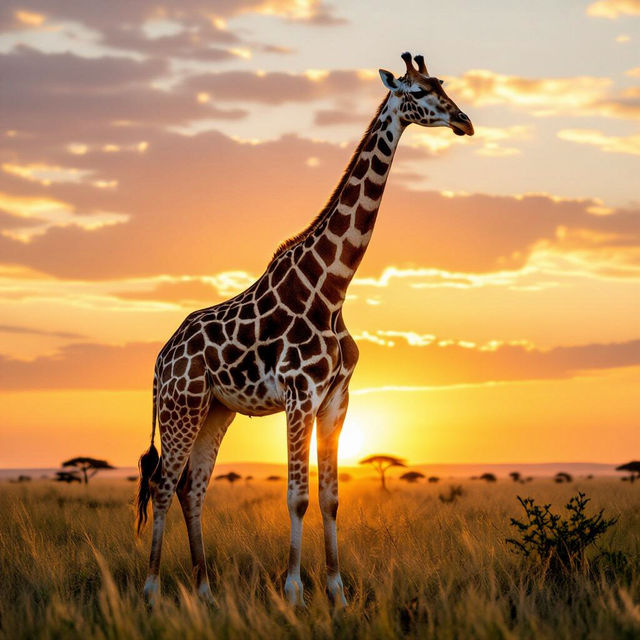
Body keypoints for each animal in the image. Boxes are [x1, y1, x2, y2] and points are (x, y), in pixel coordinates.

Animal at [136, 52, 474, 608]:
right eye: (418, 92)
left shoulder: (336, 398)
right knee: (164, 484)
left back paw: (205, 591)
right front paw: (294, 590)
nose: (465, 122)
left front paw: (337, 590)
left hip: (215, 410)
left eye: (441, 84)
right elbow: (296, 495)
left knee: (192, 487)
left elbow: (331, 496)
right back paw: (151, 591)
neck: (331, 287)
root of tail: (161, 358)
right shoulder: (299, 394)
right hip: (180, 405)